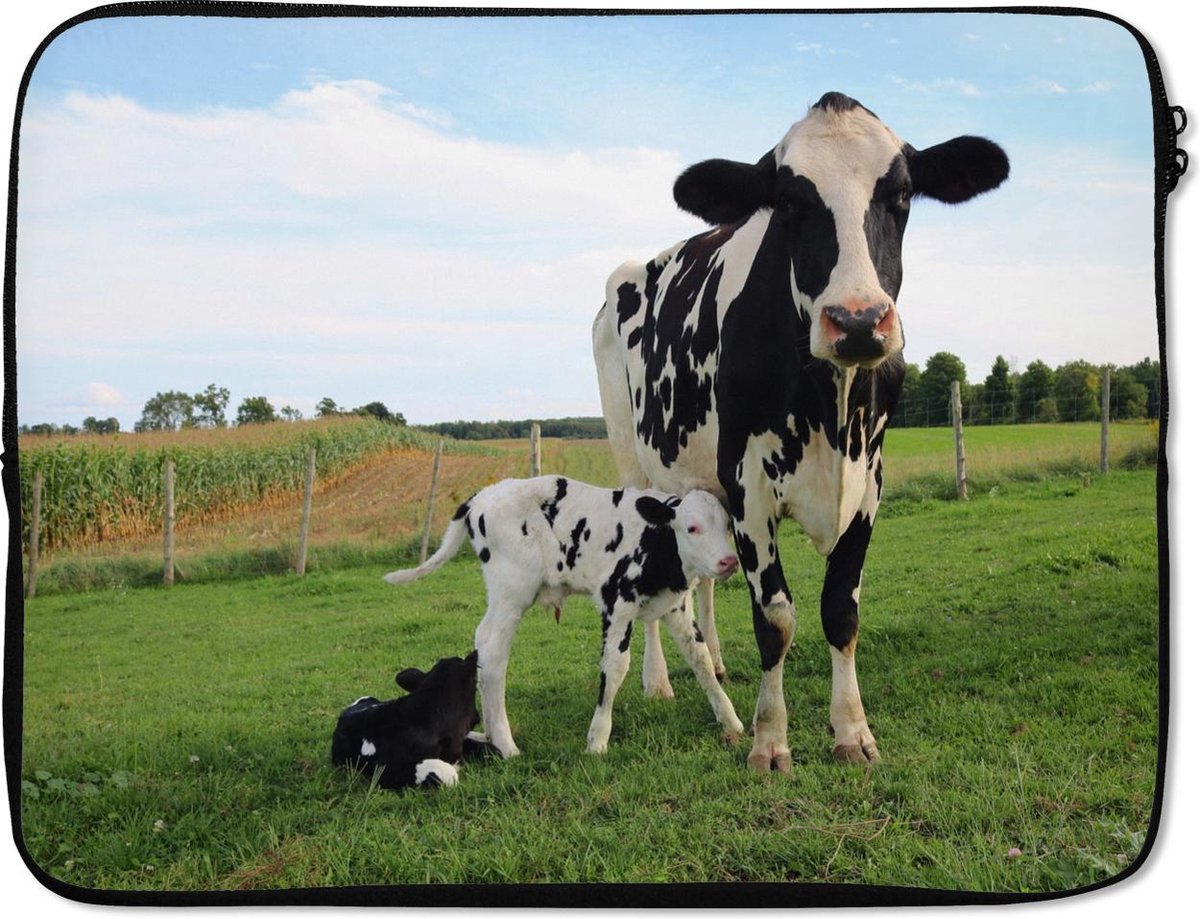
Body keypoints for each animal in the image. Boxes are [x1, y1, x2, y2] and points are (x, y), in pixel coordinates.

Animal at [383, 475, 745, 758]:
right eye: (692, 527)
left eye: (727, 525)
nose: (729, 561)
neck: (657, 541)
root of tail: (483, 495)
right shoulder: (616, 602)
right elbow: (615, 667)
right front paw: (597, 740)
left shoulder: (676, 606)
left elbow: (701, 659)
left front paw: (730, 720)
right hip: (511, 590)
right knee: (492, 649)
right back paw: (506, 744)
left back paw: (492, 737)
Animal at [592, 91, 1009, 772]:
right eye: (789, 201)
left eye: (901, 194)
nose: (858, 320)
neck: (829, 409)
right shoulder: (750, 486)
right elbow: (777, 619)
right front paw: (769, 740)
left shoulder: (869, 482)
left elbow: (840, 611)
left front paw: (852, 732)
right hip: (634, 461)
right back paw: (658, 681)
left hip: (701, 484)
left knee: (704, 581)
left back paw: (716, 662)